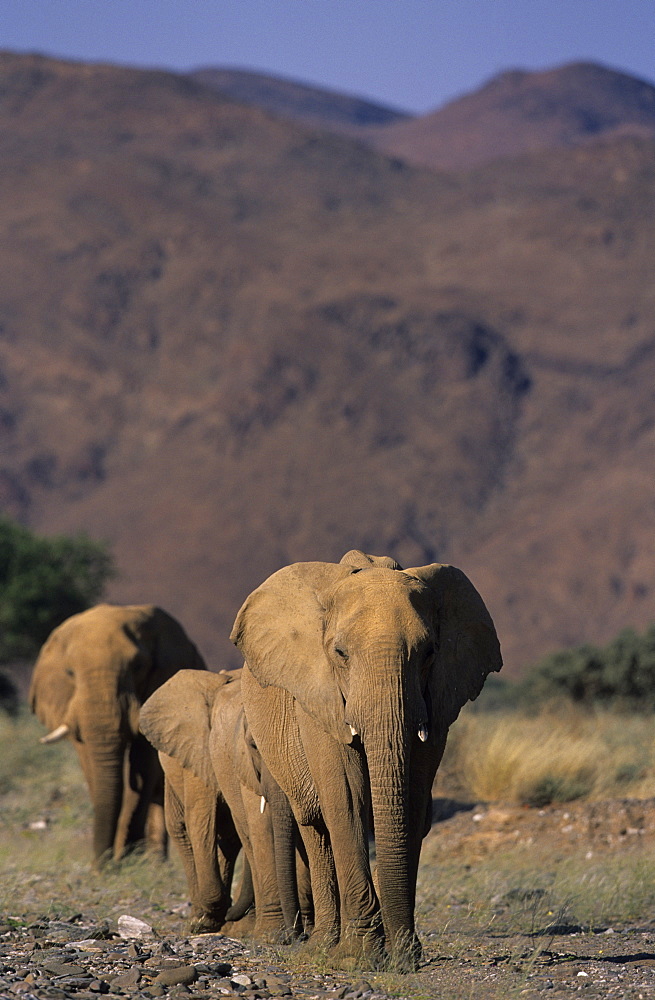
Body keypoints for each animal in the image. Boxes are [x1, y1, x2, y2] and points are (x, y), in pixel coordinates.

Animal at [28, 600, 206, 868]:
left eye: (138, 666)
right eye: (69, 672)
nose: (101, 865)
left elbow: (143, 764)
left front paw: (132, 860)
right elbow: (92, 766)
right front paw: (113, 865)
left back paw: (156, 863)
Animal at [139, 668, 312, 940]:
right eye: (254, 746)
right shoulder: (199, 752)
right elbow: (202, 821)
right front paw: (208, 920)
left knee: (229, 838)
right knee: (183, 831)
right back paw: (203, 918)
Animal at [231, 548, 502, 968]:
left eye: (430, 653)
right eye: (340, 653)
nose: (406, 956)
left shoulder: (437, 699)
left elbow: (412, 803)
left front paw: (403, 956)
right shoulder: (318, 699)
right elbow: (345, 801)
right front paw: (359, 958)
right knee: (315, 824)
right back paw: (323, 945)